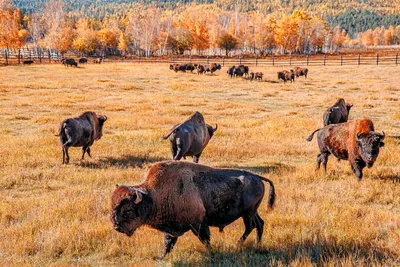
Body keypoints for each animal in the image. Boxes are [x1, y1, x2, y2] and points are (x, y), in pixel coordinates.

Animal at [111, 161, 276, 260]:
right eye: (113, 207)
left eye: (128, 211)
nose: (117, 227)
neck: (153, 196)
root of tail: (256, 176)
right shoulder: (171, 228)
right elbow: (168, 243)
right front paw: (160, 257)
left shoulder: (198, 224)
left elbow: (205, 239)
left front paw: (213, 253)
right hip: (252, 212)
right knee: (259, 224)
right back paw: (257, 244)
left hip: (247, 213)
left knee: (250, 226)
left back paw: (238, 244)